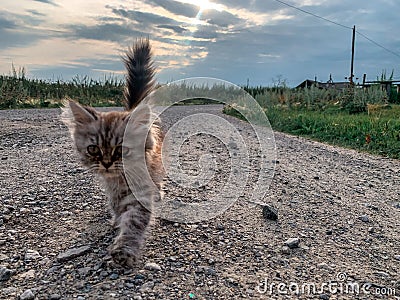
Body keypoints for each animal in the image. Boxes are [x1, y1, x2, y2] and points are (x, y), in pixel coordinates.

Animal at [61, 38, 163, 268]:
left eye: (121, 150)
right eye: (93, 149)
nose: (107, 163)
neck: (121, 179)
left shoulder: (140, 192)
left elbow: (134, 221)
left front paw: (124, 250)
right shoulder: (114, 189)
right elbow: (118, 208)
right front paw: (117, 221)